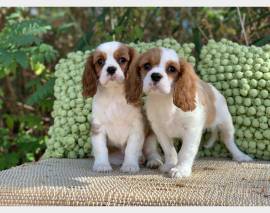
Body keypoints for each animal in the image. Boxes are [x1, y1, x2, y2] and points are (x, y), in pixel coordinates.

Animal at [81, 41, 162, 173]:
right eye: (100, 61)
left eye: (122, 60)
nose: (111, 69)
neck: (114, 94)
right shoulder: (98, 128)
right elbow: (101, 149)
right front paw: (102, 165)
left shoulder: (137, 127)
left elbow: (131, 149)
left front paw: (130, 165)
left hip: (150, 138)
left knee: (152, 152)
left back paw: (153, 161)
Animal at [125, 47, 252, 178]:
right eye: (147, 66)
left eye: (171, 69)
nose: (155, 76)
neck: (165, 100)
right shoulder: (160, 131)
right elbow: (169, 150)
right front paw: (170, 165)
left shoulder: (192, 130)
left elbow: (186, 151)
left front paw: (181, 169)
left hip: (226, 123)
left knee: (229, 141)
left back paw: (240, 155)